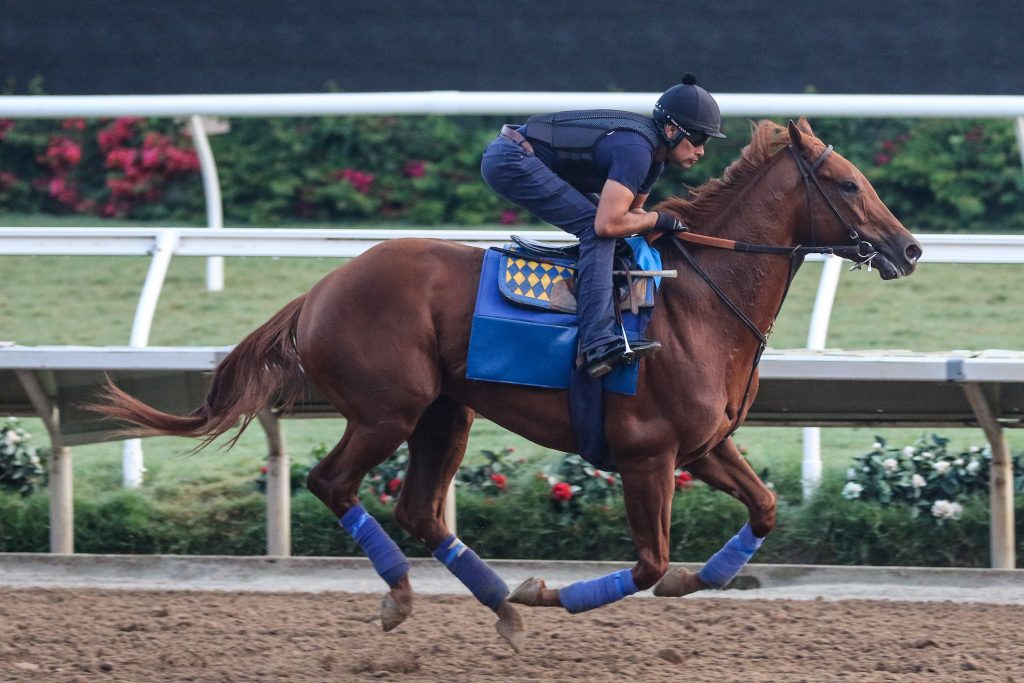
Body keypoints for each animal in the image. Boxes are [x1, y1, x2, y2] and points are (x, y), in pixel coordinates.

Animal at [94, 117, 921, 651]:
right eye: (849, 185)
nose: (909, 248)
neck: (698, 299)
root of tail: (322, 288)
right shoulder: (649, 454)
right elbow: (649, 562)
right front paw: (551, 591)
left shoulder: (706, 445)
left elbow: (764, 510)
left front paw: (699, 579)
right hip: (386, 412)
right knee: (333, 483)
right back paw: (409, 596)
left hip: (445, 414)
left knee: (420, 510)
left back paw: (500, 604)